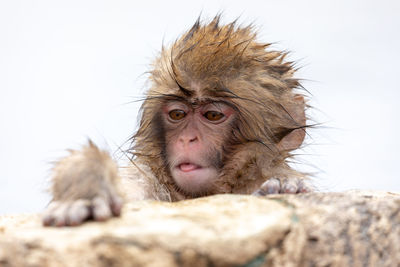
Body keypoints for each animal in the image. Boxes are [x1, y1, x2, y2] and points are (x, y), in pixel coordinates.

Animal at [43, 15, 312, 227]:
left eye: (213, 115)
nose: (186, 138)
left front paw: (283, 185)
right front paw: (85, 189)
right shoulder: (146, 181)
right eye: (177, 115)